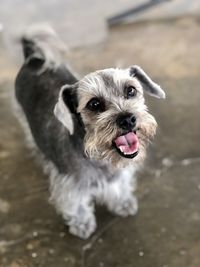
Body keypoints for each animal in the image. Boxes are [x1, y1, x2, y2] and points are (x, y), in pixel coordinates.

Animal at [14, 25, 166, 240]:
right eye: (94, 104)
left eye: (131, 90)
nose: (127, 119)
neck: (100, 157)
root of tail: (33, 59)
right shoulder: (71, 185)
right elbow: (76, 205)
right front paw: (82, 224)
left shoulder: (119, 175)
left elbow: (120, 186)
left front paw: (123, 202)